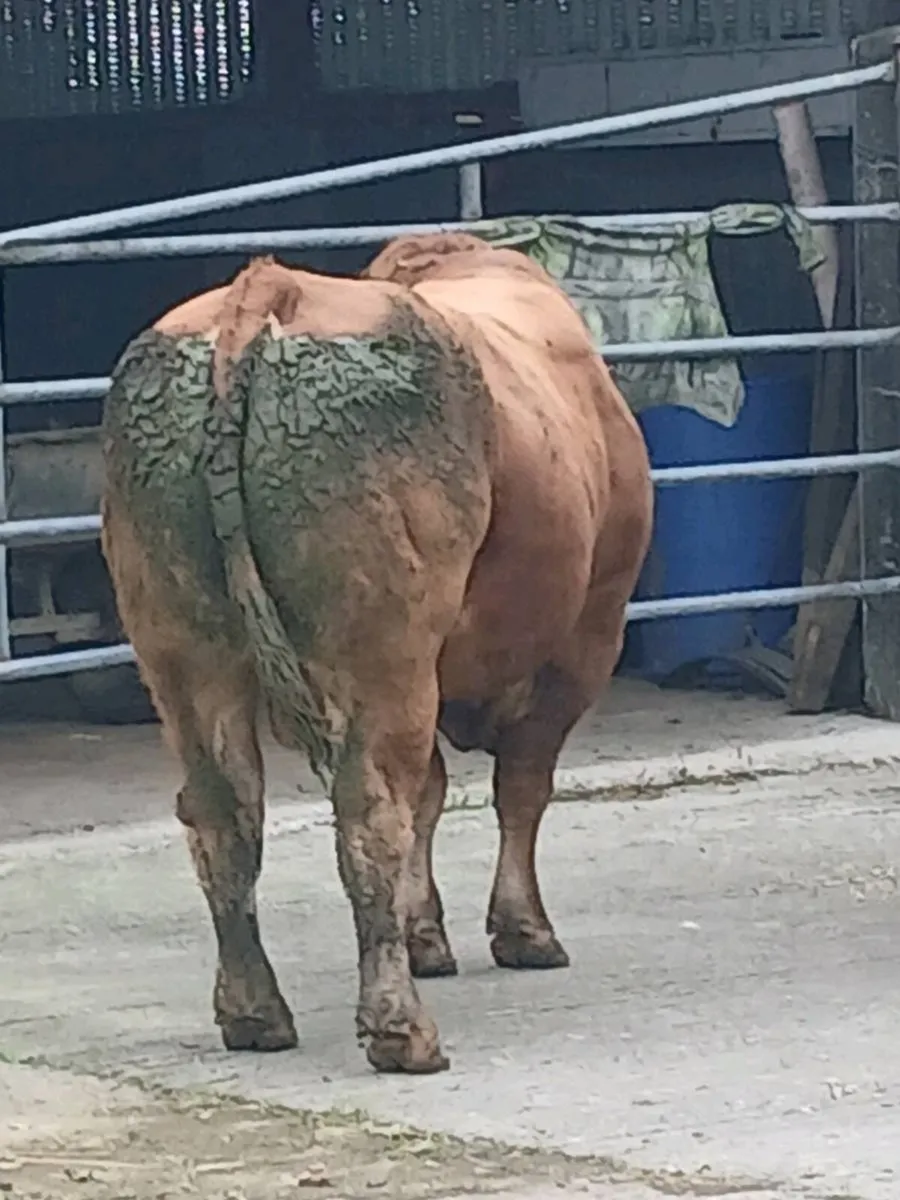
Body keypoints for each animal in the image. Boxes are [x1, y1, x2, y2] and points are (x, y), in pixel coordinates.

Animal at [100, 232, 653, 1075]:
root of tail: (273, 289)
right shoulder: (585, 640)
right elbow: (520, 787)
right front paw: (523, 930)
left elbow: (437, 790)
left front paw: (428, 932)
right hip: (384, 652)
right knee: (370, 814)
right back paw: (401, 1030)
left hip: (182, 648)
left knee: (222, 814)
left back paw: (255, 1013)